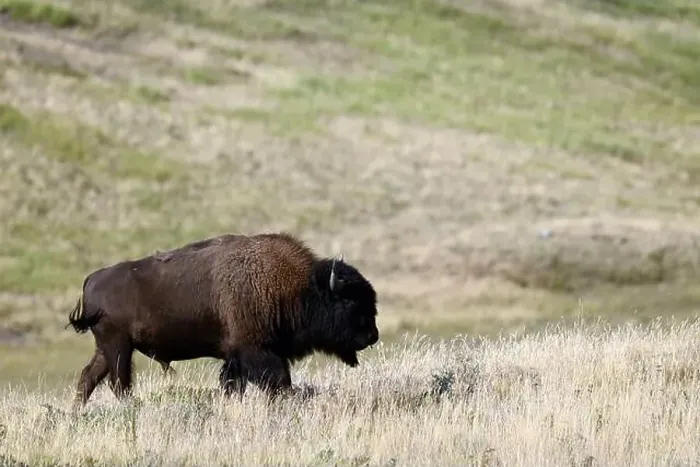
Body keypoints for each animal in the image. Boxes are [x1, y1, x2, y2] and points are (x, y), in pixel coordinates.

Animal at [67, 232, 379, 407]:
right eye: (350, 300)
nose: (373, 335)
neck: (297, 289)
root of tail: (91, 279)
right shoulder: (256, 352)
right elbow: (279, 381)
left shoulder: (235, 358)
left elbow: (234, 386)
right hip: (118, 346)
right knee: (118, 383)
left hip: (108, 348)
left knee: (89, 377)